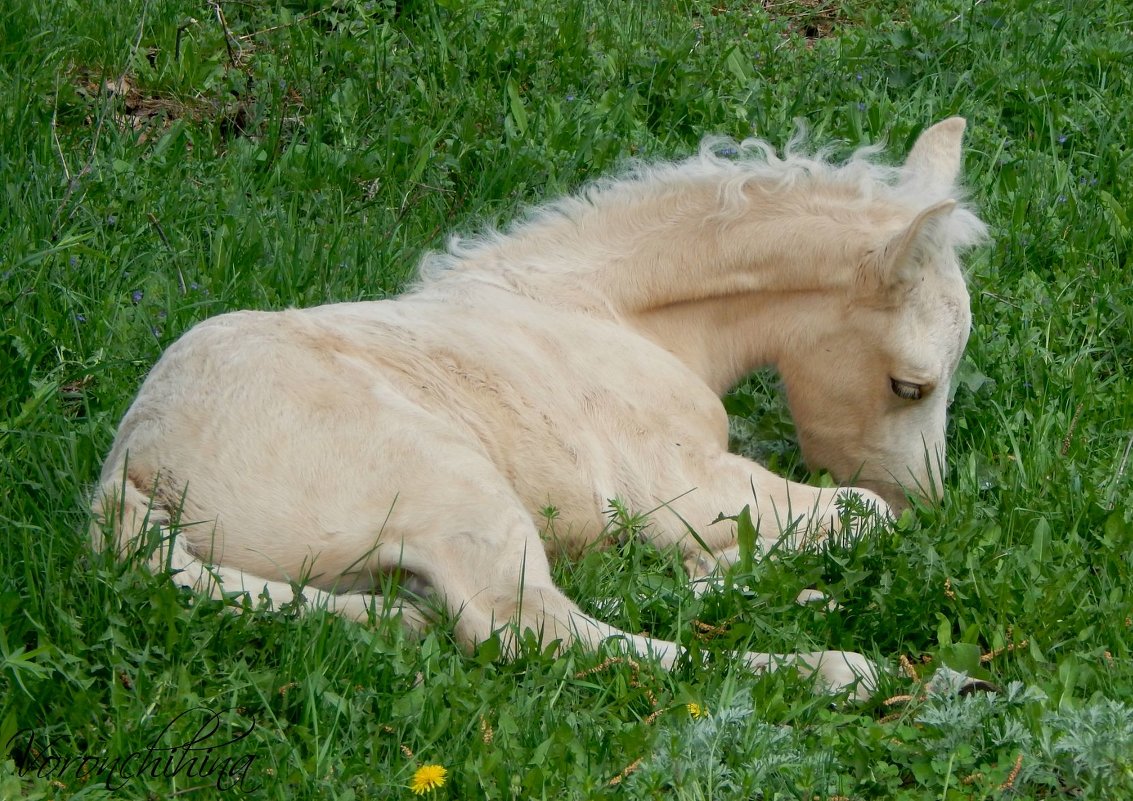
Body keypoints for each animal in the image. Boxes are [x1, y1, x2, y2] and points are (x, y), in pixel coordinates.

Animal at [95, 117, 983, 693]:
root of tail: (132, 465)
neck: (607, 309)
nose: (932, 503)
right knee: (533, 626)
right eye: (909, 385)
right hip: (453, 488)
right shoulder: (677, 483)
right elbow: (864, 510)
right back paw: (854, 669)